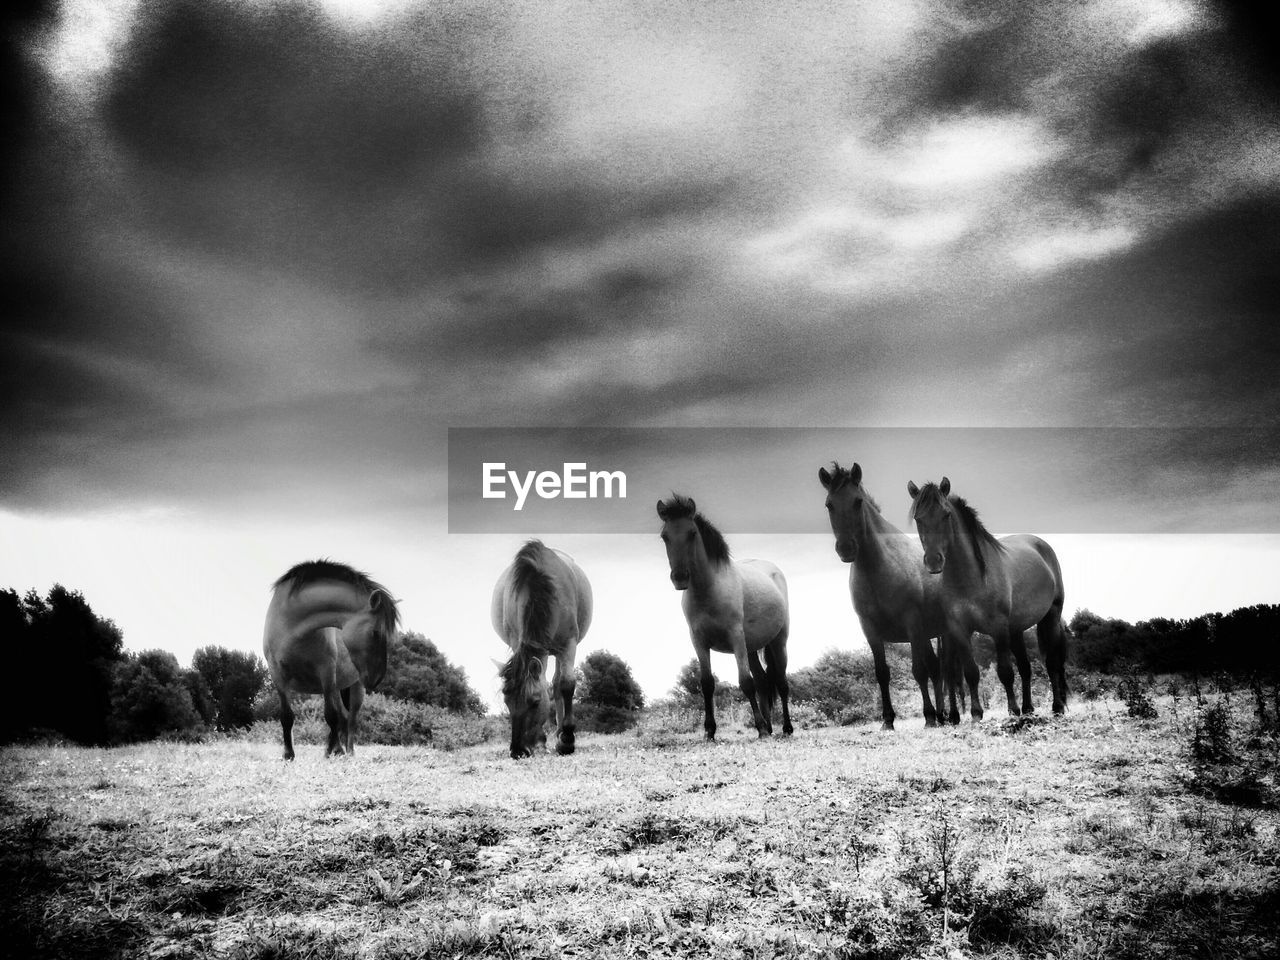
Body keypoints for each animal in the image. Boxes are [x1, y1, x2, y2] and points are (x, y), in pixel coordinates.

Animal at [261, 563, 396, 757]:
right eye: (376, 633)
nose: (377, 678)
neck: (291, 627)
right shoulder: (278, 675)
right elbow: (286, 716)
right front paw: (288, 755)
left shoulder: (326, 672)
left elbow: (331, 715)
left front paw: (337, 750)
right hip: (337, 687)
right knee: (344, 717)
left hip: (355, 687)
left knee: (350, 719)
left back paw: (348, 751)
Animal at [491, 542, 591, 757]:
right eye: (507, 702)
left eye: (535, 702)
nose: (518, 751)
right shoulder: (519, 642)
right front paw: (540, 740)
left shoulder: (568, 644)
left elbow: (566, 684)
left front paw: (567, 740)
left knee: (558, 683)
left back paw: (562, 734)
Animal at [660, 496, 788, 742]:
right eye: (664, 535)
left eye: (692, 533)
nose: (680, 578)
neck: (709, 591)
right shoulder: (699, 642)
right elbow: (707, 684)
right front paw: (710, 731)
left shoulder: (735, 636)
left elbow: (745, 682)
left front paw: (759, 727)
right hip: (751, 647)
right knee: (763, 682)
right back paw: (769, 728)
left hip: (779, 641)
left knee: (781, 681)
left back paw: (786, 728)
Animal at [819, 463, 967, 727]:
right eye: (829, 504)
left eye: (857, 501)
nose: (846, 548)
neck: (877, 569)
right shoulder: (870, 630)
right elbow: (882, 673)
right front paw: (888, 720)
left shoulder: (912, 624)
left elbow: (918, 671)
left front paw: (928, 716)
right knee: (937, 669)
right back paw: (942, 715)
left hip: (944, 633)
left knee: (948, 670)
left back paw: (950, 715)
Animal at [906, 478, 1075, 716]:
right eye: (918, 519)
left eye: (946, 514)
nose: (933, 561)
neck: (971, 578)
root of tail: (1041, 545)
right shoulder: (960, 630)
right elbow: (971, 672)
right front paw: (977, 714)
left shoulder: (998, 627)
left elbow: (1005, 671)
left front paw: (1012, 710)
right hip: (1016, 629)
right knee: (1025, 667)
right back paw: (1028, 707)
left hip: (1050, 616)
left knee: (1051, 663)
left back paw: (1057, 707)